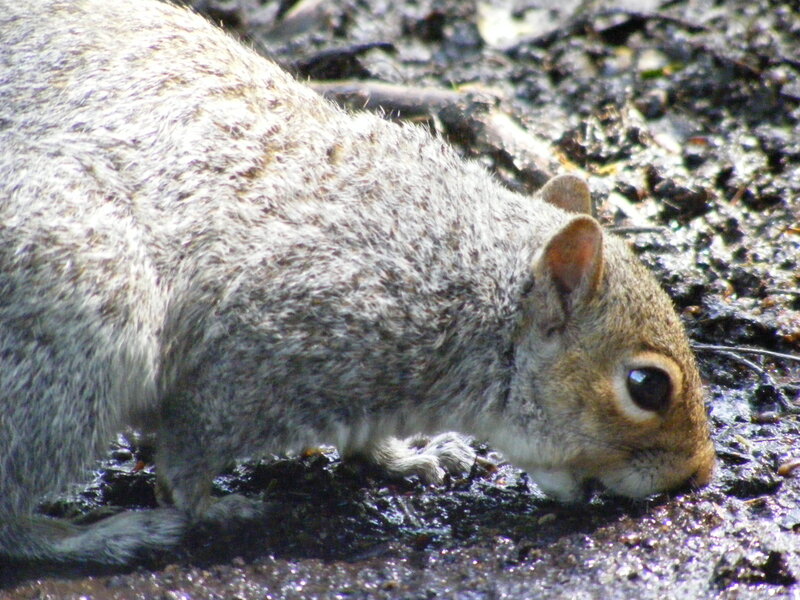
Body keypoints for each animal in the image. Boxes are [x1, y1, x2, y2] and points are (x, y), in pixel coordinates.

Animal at [0, 0, 715, 570]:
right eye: (648, 386)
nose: (699, 474)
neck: (464, 286)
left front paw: (408, 457)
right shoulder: (252, 358)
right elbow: (186, 460)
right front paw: (212, 507)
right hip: (79, 328)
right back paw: (99, 537)